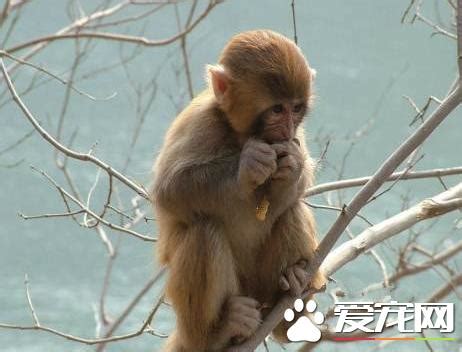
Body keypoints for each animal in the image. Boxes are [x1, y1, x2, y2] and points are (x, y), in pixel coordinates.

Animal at [152, 30, 324, 352]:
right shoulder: (201, 122)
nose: (286, 129)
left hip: (260, 288)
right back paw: (216, 333)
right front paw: (249, 164)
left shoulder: (296, 136)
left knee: (292, 210)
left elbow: (296, 187)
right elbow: (169, 190)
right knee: (204, 230)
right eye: (277, 109)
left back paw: (292, 301)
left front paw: (292, 166)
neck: (242, 134)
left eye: (295, 108)